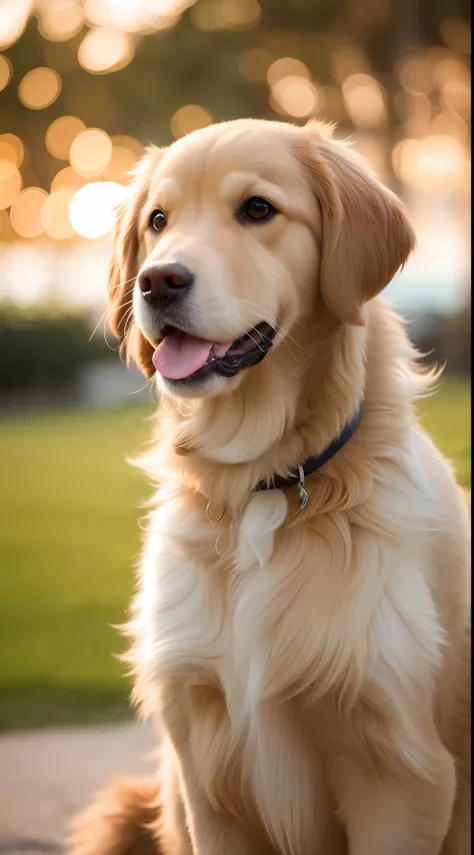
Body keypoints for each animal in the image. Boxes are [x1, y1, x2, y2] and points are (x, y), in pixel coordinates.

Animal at [67, 117, 470, 852]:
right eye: (159, 220)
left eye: (257, 209)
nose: (157, 281)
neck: (261, 482)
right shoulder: (203, 770)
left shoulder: (401, 767)